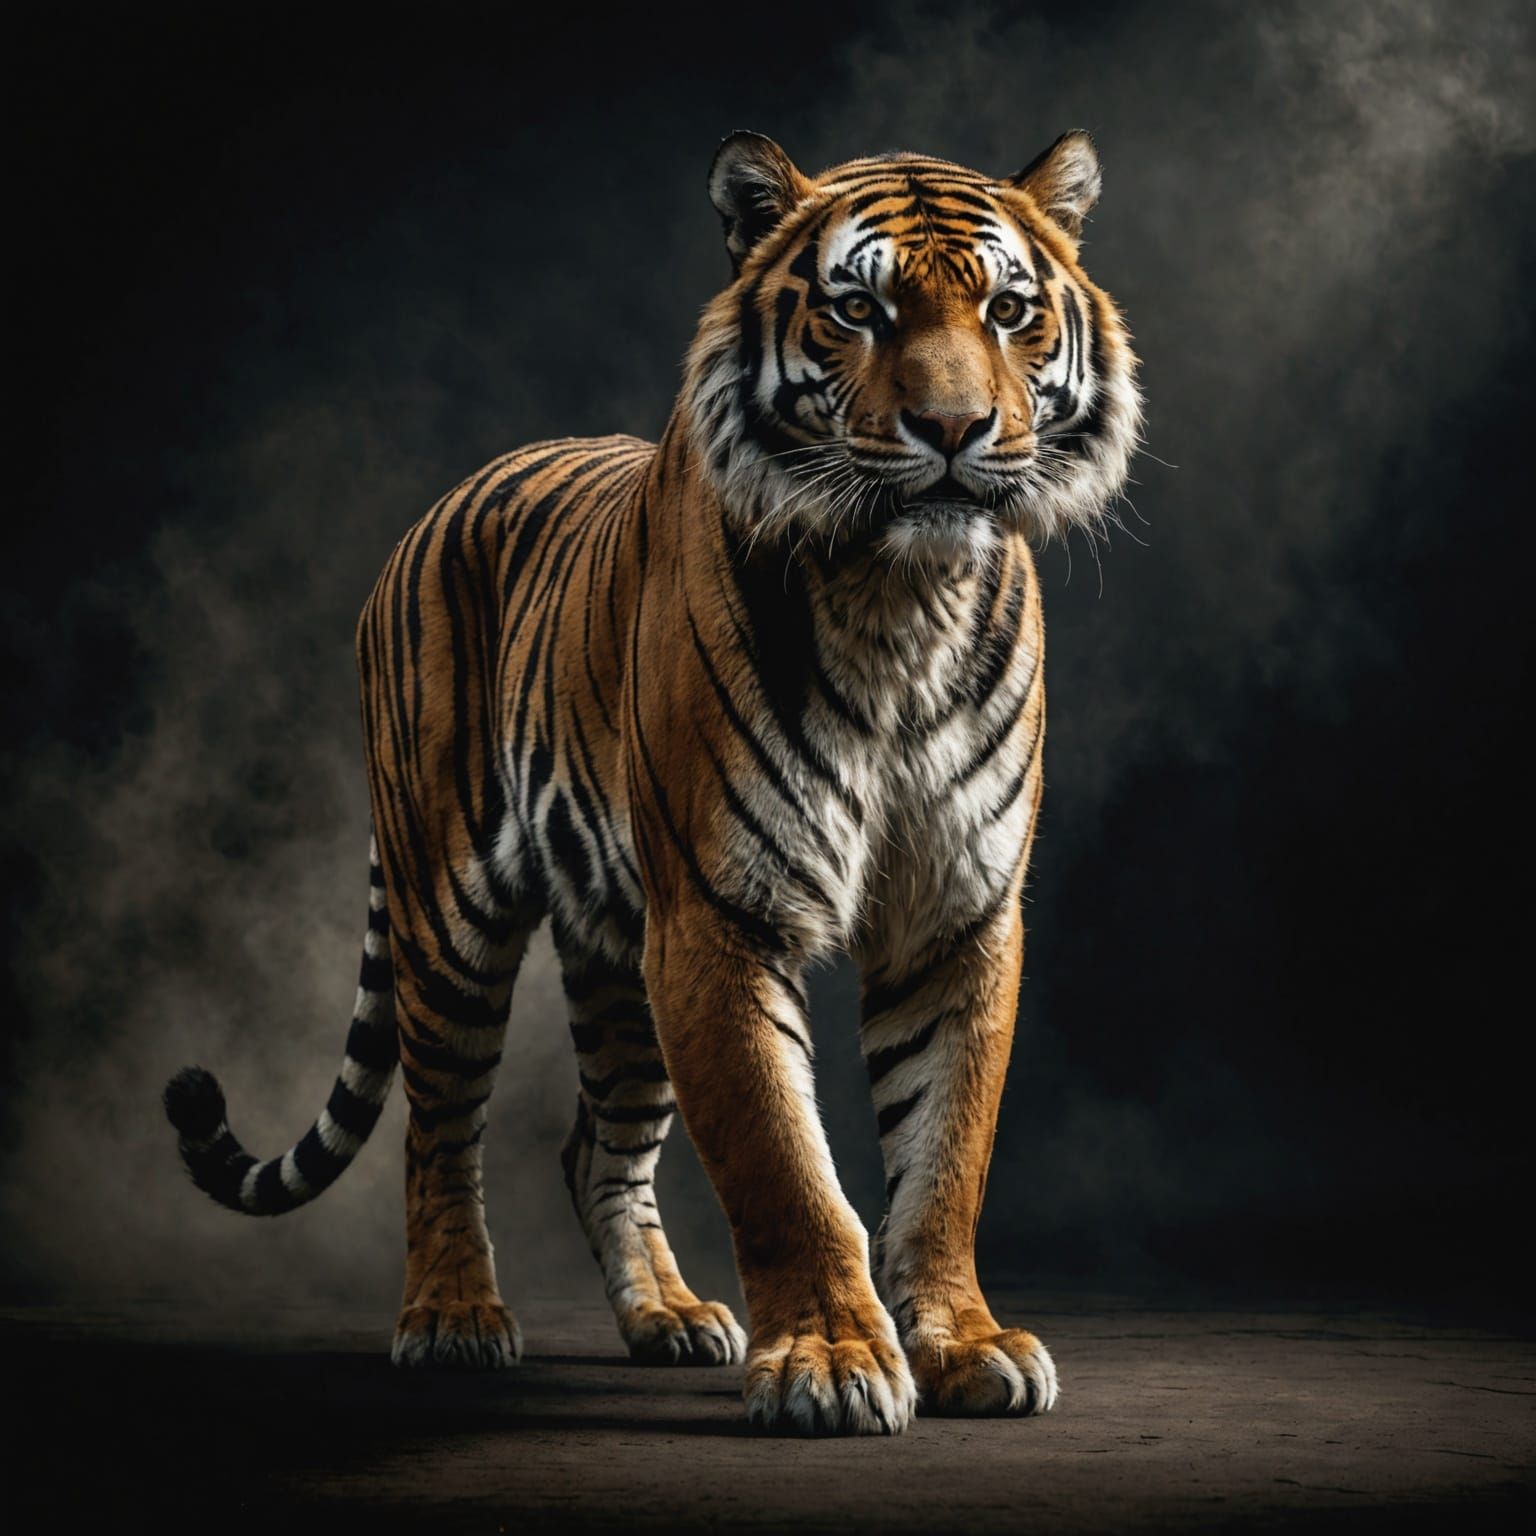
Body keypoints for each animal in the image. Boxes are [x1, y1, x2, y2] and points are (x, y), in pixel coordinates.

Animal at [163, 128, 1141, 1437]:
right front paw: (832, 1361)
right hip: (450, 914)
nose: (955, 428)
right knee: (439, 1128)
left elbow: (946, 1155)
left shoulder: (956, 915)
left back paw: (668, 1317)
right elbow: (782, 1163)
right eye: (859, 309)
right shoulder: (723, 917)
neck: (900, 596)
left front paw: (964, 1344)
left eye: (1010, 310)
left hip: (618, 949)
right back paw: (453, 1317)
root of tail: (437, 508)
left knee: (597, 1147)